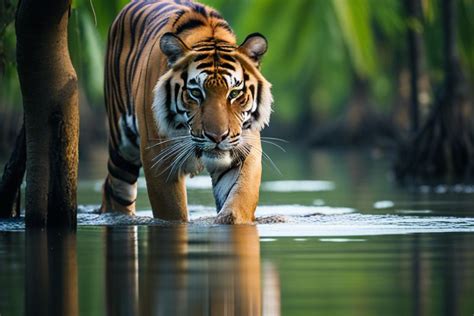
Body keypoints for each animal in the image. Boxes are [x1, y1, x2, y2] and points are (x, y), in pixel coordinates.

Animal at [100, 0, 274, 225]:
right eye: (195, 92)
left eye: (234, 93)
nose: (217, 137)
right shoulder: (159, 158)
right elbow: (173, 214)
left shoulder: (243, 148)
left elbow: (238, 202)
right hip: (122, 150)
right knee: (115, 189)